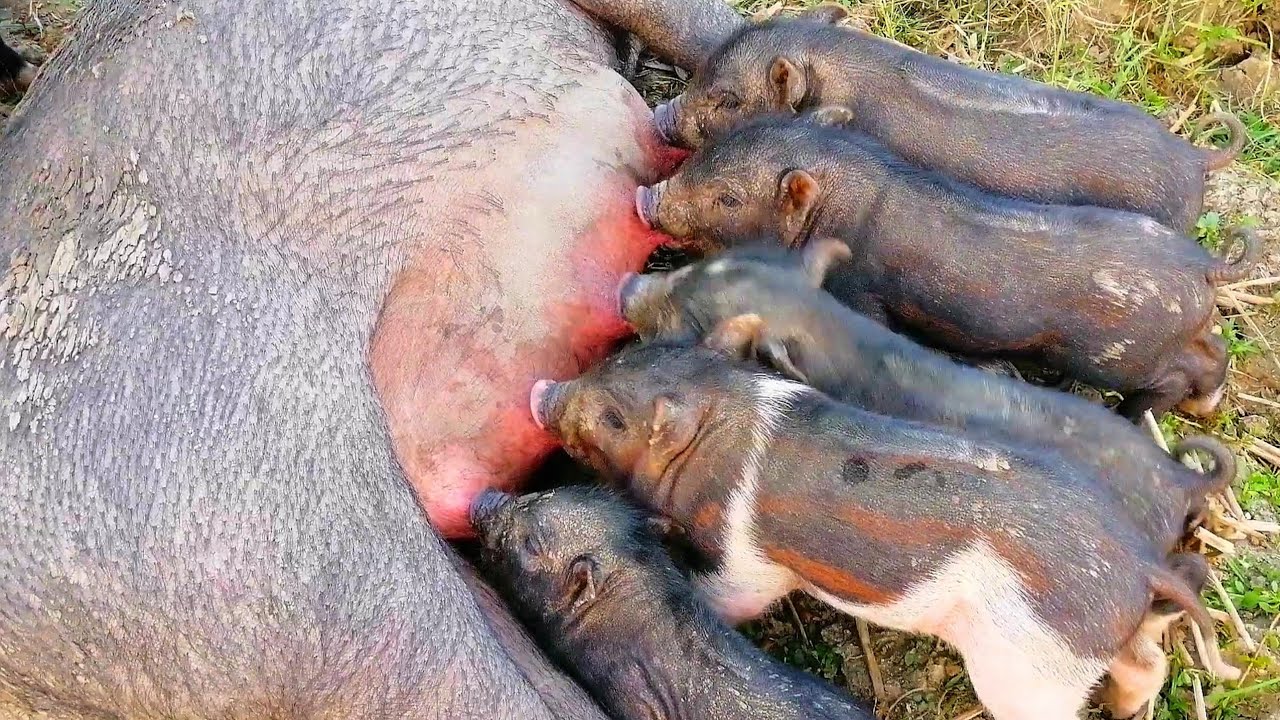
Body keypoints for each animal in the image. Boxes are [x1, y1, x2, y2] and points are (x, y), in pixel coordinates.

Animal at [530, 343, 1241, 720]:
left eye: (615, 419)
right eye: (620, 354)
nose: (542, 391)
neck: (719, 431)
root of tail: (1138, 562)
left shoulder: (746, 558)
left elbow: (735, 595)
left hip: (1031, 666)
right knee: (1146, 662)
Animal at [635, 115, 1258, 419]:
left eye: (729, 198)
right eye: (705, 151)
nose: (647, 196)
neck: (840, 205)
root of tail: (1203, 265)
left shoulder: (863, 293)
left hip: (1118, 353)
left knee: (1177, 371)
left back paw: (1139, 414)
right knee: (1212, 350)